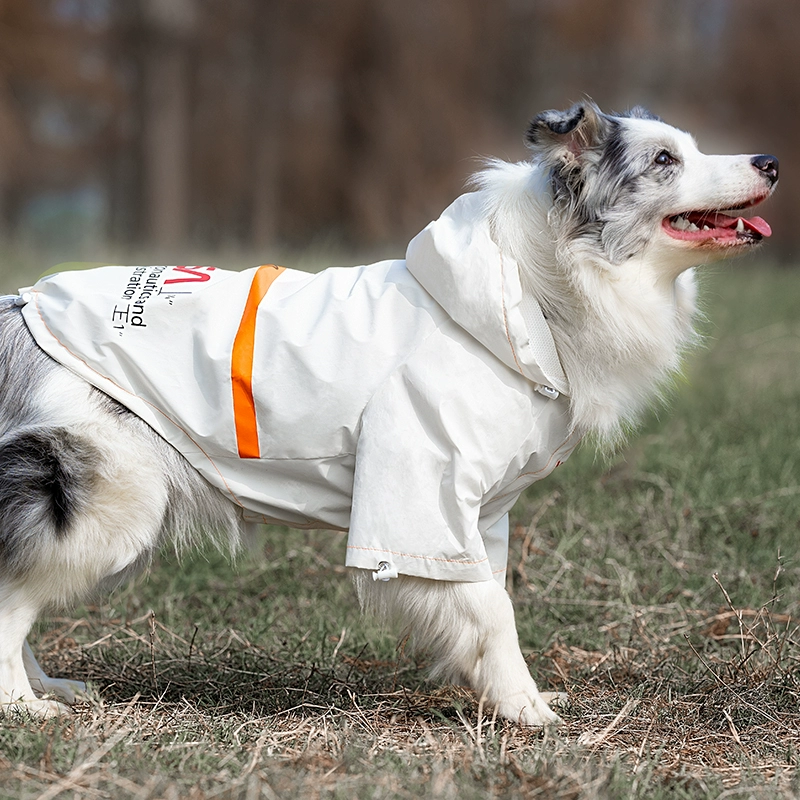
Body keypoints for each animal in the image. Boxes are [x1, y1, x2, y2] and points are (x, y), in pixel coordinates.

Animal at [0, 101, 776, 724]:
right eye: (665, 160)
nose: (769, 159)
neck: (535, 289)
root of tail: (21, 306)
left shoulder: (479, 514)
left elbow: (484, 603)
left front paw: (502, 697)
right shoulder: (423, 494)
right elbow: (492, 609)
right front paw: (529, 713)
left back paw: (52, 689)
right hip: (108, 499)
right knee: (11, 601)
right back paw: (24, 707)